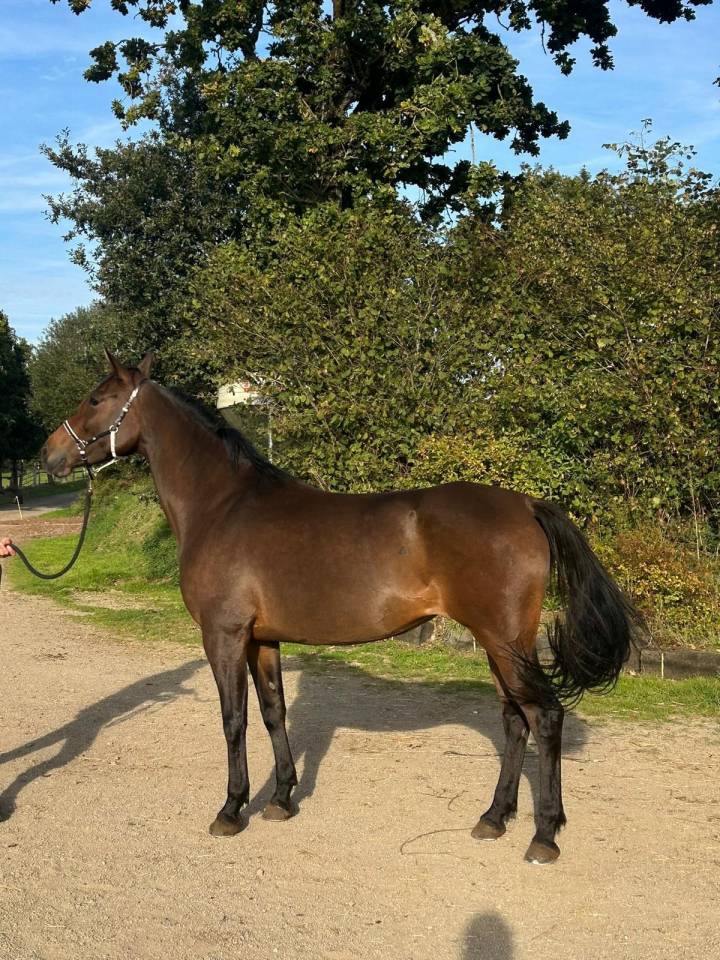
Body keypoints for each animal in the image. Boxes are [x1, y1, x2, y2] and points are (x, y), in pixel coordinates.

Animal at [40, 350, 642, 864]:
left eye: (95, 398)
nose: (49, 455)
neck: (223, 505)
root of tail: (526, 505)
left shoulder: (224, 635)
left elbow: (234, 720)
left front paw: (232, 809)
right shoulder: (262, 638)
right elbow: (273, 712)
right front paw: (282, 799)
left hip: (506, 640)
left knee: (545, 717)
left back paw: (544, 835)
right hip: (499, 645)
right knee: (514, 721)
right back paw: (493, 818)